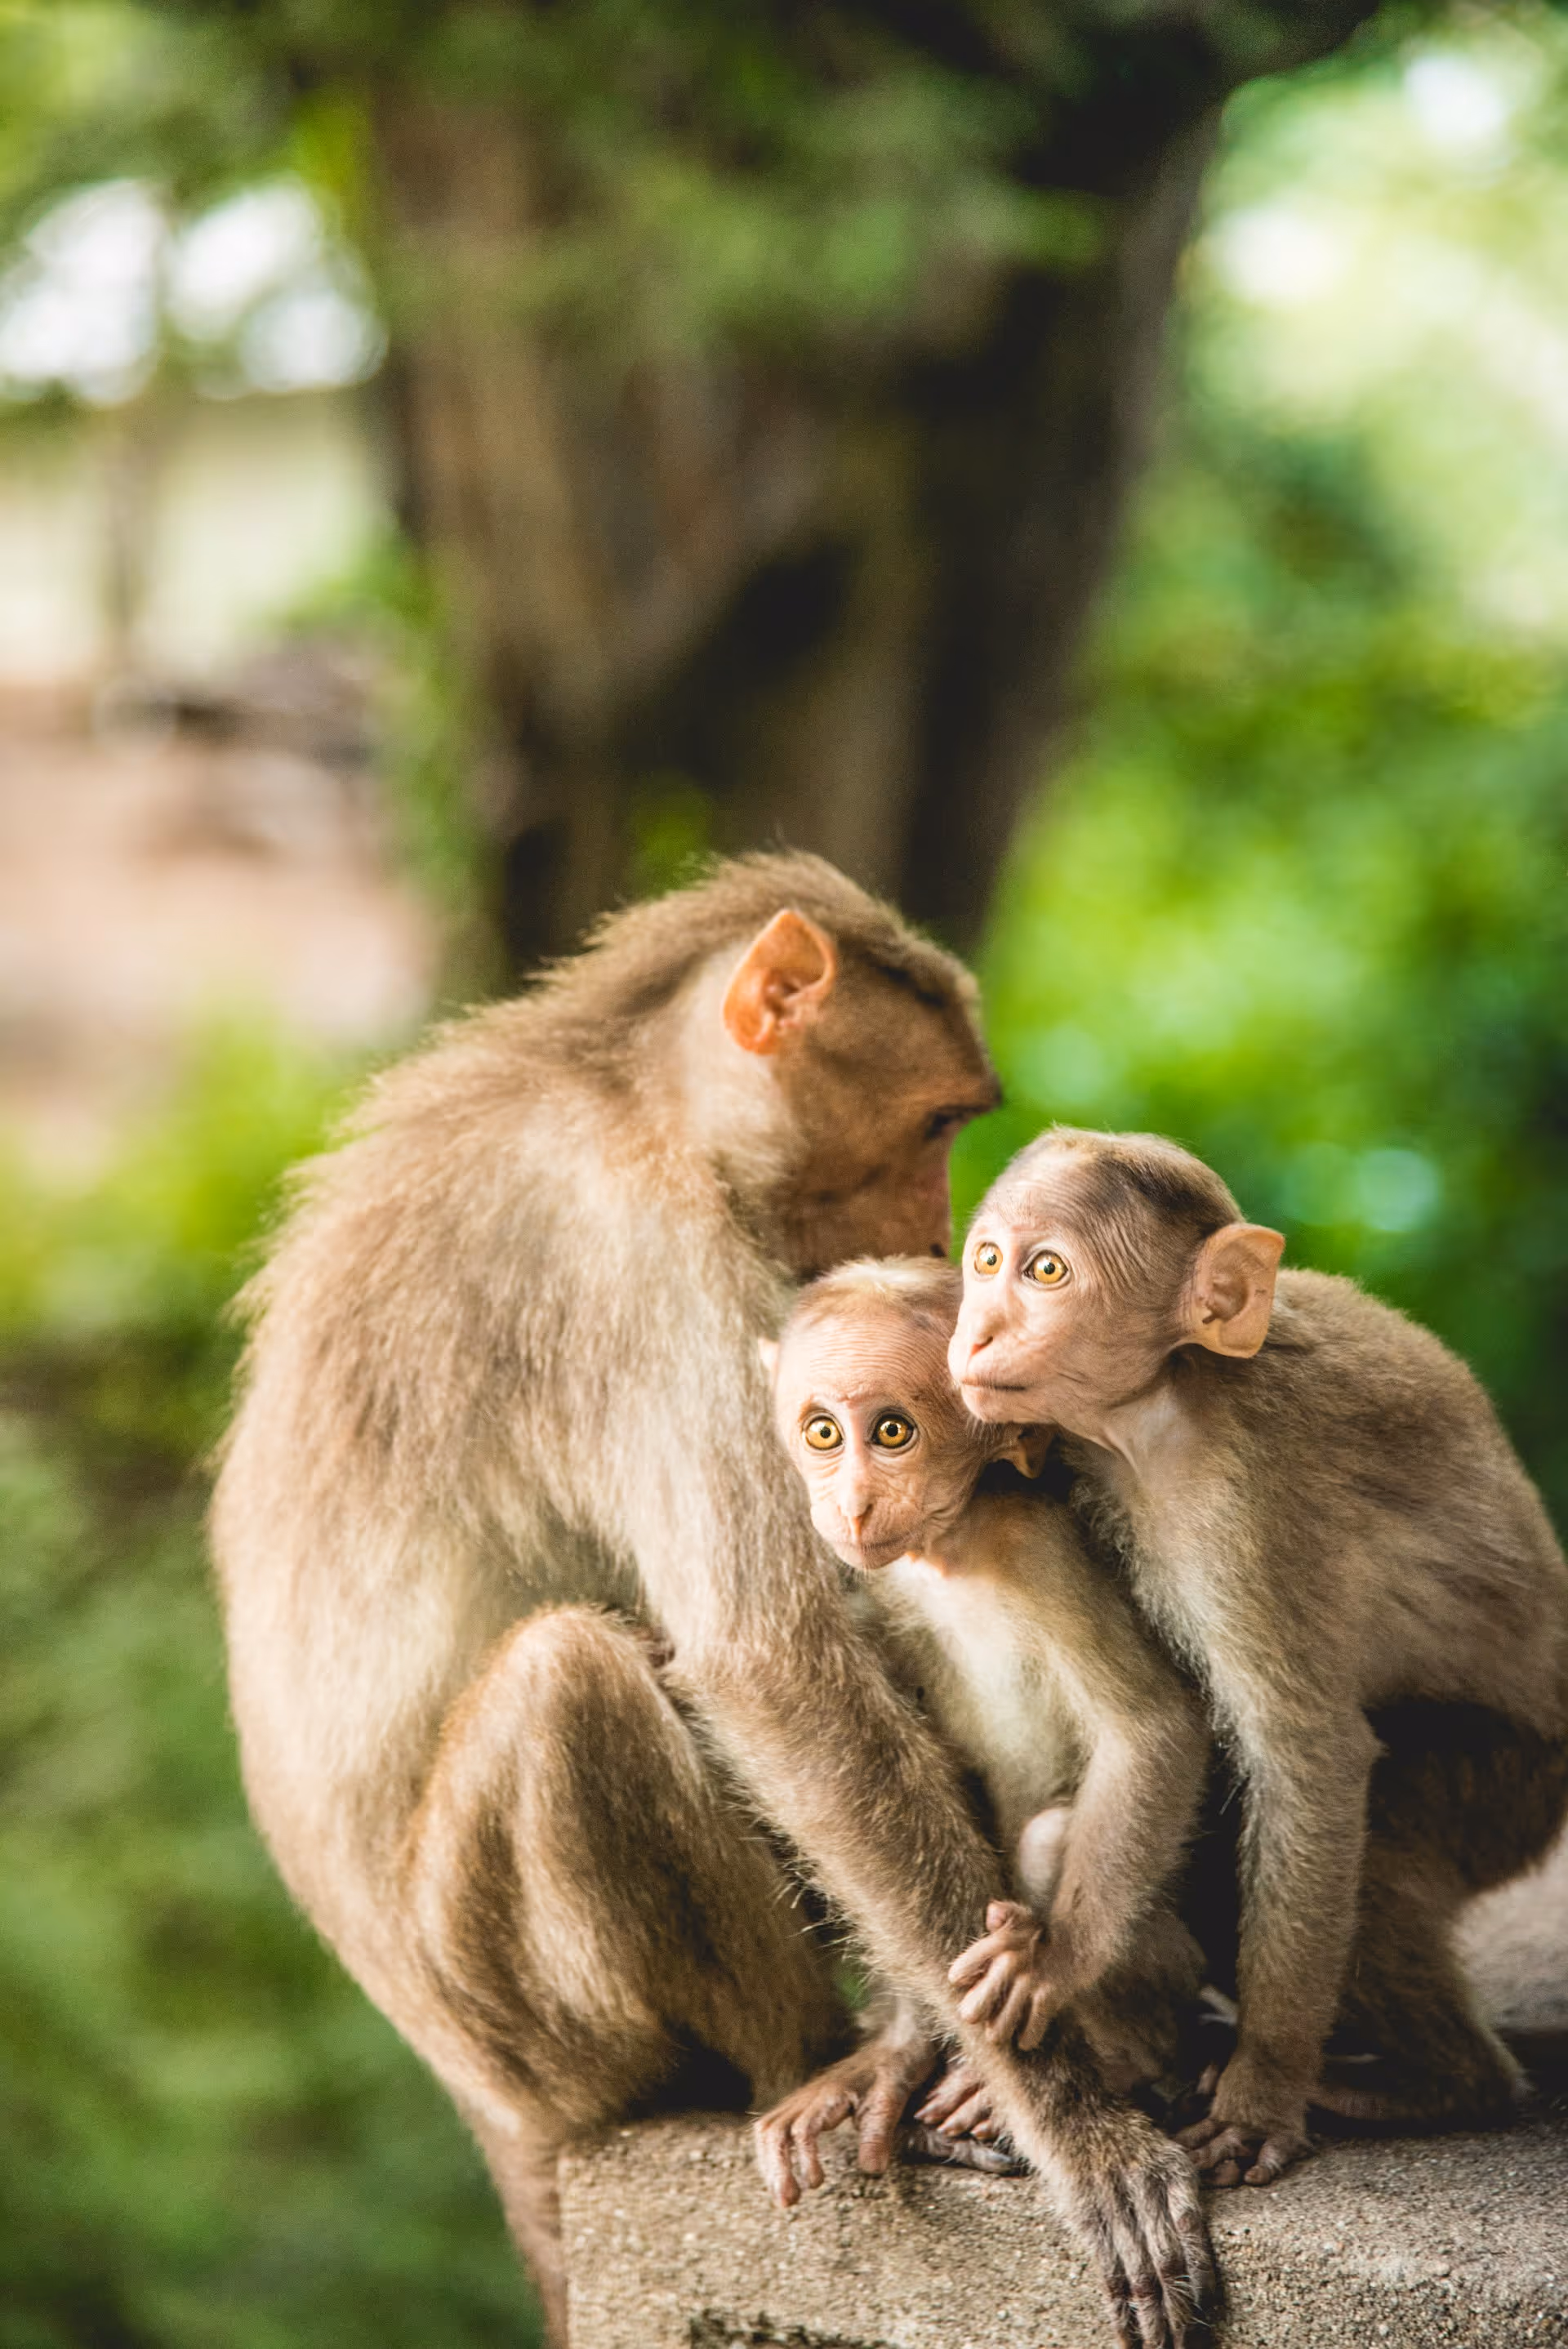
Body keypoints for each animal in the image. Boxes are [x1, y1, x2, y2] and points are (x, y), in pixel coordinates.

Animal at [753, 1254, 1209, 2205]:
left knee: (1049, 1836)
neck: (951, 1550)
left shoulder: (1036, 1548)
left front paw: (1051, 1963)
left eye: (892, 1432)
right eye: (822, 1433)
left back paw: (1124, 2058)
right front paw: (891, 2054)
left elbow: (1152, 1726)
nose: (852, 1502)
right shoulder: (881, 1587)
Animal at [950, 1124, 1568, 2192]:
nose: (977, 1330)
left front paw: (1259, 2085)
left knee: (1381, 1848)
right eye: (986, 1260)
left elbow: (1310, 1757)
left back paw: (1440, 2082)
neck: (1163, 1402)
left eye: (1046, 1270)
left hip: (1511, 1788)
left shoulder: (1251, 1504)